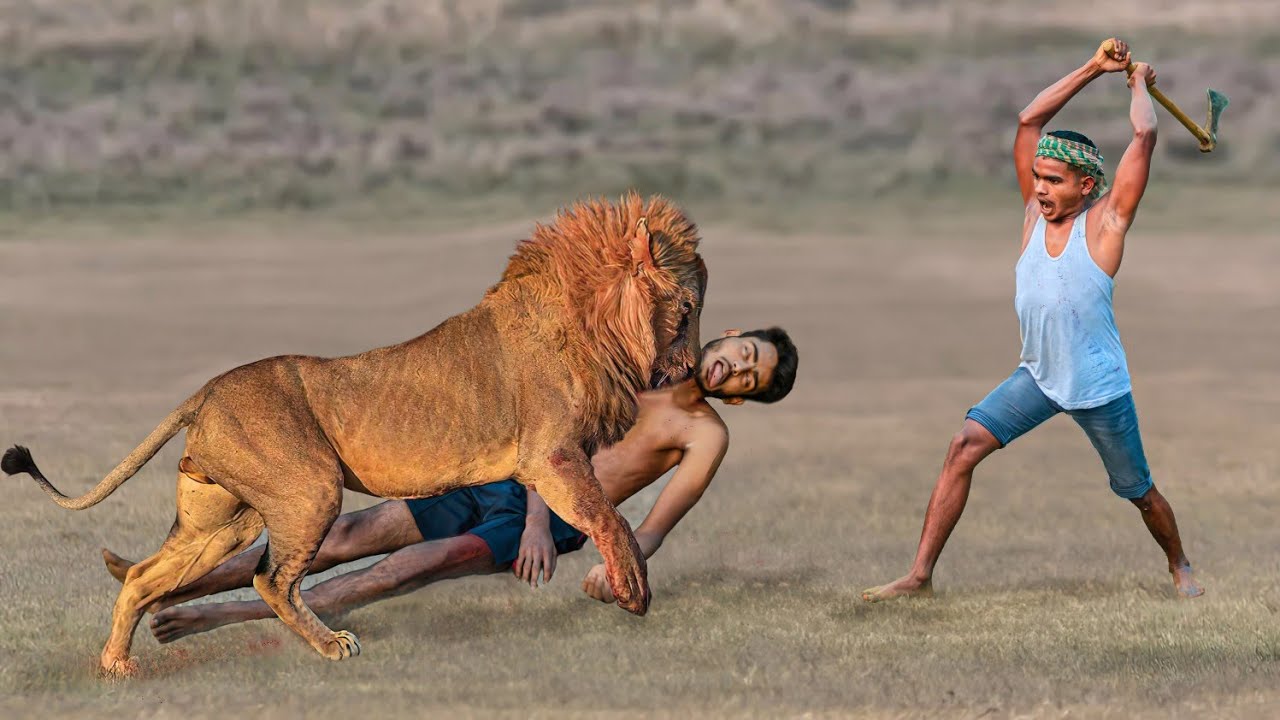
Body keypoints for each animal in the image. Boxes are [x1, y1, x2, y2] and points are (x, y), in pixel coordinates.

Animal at [2, 192, 706, 676]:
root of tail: (205, 391)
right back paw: (331, 645)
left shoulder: (552, 460)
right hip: (309, 488)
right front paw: (633, 593)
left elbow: (608, 516)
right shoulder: (552, 457)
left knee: (150, 575)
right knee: (270, 580)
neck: (594, 323)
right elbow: (610, 517)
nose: (693, 369)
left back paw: (118, 663)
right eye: (689, 306)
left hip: (225, 520)